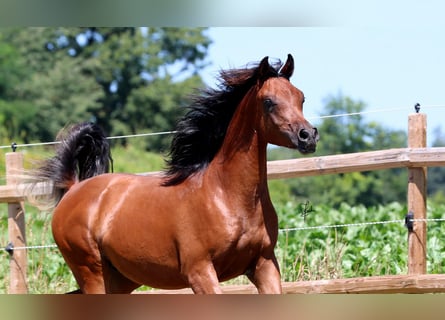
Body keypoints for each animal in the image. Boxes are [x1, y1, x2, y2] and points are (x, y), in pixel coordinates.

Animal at [33, 53, 318, 294]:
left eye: (301, 98)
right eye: (268, 102)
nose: (308, 136)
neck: (227, 197)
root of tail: (73, 188)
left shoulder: (264, 264)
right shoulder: (199, 271)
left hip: (121, 279)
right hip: (92, 273)